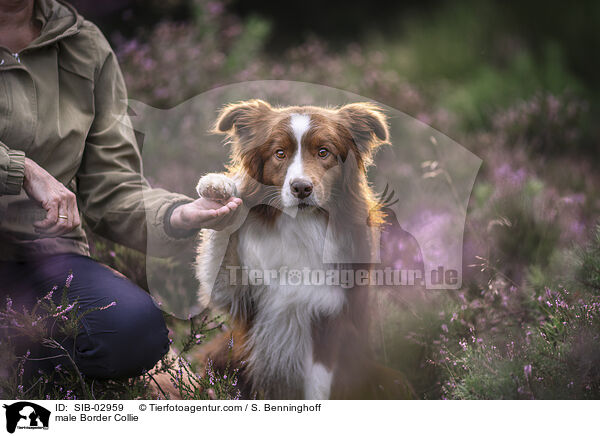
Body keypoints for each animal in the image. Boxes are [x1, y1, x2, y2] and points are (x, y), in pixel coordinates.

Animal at [195, 99, 410, 398]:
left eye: (323, 152)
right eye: (279, 153)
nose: (301, 188)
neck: (301, 224)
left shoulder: (329, 319)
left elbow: (319, 384)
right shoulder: (243, 297)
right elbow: (217, 269)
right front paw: (221, 187)